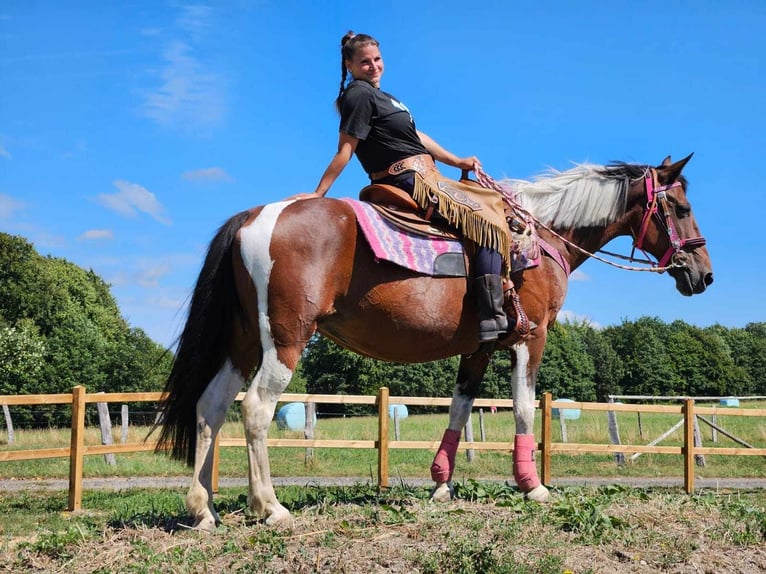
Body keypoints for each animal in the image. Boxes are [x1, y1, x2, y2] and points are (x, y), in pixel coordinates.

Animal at [154, 152, 712, 532]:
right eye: (682, 206)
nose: (703, 274)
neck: (543, 236)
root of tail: (254, 217)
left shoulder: (479, 346)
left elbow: (461, 408)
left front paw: (441, 483)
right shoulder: (531, 338)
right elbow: (525, 408)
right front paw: (532, 486)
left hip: (244, 343)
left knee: (211, 407)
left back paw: (203, 508)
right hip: (285, 341)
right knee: (255, 410)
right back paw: (270, 507)